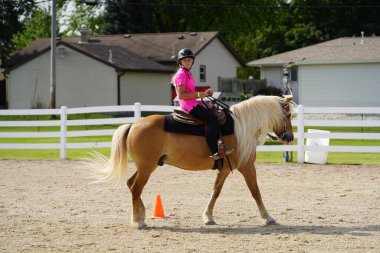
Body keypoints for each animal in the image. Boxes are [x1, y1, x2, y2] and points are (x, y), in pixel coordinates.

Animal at [89, 95, 294, 229]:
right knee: (135, 188)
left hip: (145, 166)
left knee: (131, 184)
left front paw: (208, 217)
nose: (290, 137)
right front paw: (268, 218)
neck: (242, 127)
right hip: (147, 167)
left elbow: (216, 192)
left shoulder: (224, 169)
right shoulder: (247, 166)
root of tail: (133, 125)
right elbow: (255, 192)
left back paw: (140, 216)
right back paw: (139, 221)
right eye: (288, 115)